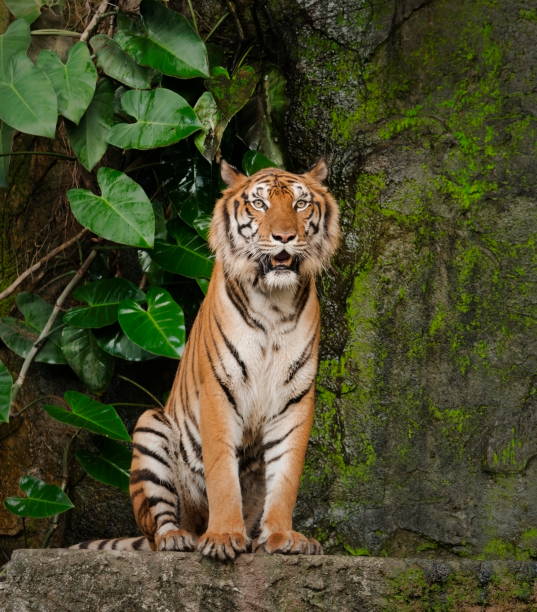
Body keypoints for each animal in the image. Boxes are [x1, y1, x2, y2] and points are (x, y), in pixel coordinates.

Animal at [71, 159, 340, 560]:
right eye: (259, 204)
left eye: (300, 204)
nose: (284, 237)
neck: (274, 303)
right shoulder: (218, 389)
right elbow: (221, 473)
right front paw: (225, 536)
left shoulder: (295, 397)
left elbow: (287, 475)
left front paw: (281, 536)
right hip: (150, 427)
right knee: (159, 528)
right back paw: (179, 538)